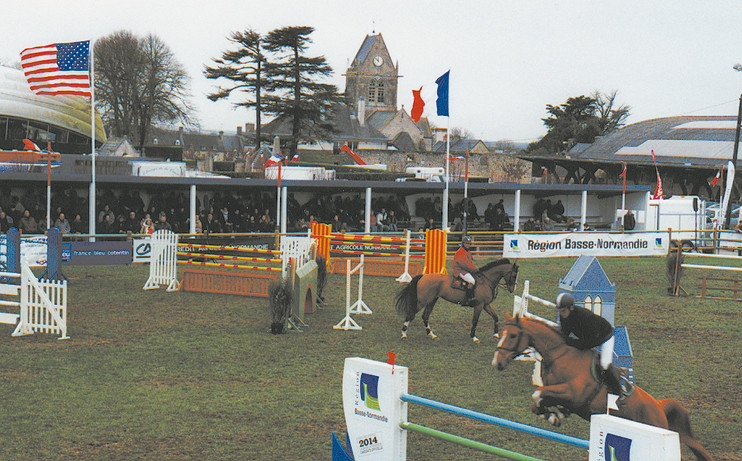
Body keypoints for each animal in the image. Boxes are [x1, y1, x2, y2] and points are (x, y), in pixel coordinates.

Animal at [392, 258, 520, 342]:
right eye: (514, 275)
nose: (512, 289)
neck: (486, 280)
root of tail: (423, 276)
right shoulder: (479, 305)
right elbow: (475, 321)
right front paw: (474, 337)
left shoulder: (486, 304)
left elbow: (495, 317)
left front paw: (496, 334)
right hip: (421, 302)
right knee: (411, 314)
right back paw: (403, 334)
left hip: (432, 301)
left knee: (425, 316)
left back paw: (431, 335)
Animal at [494, 316, 716, 460]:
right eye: (501, 334)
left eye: (512, 335)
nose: (497, 363)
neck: (559, 354)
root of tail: (659, 406)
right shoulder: (559, 393)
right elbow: (537, 400)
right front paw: (553, 416)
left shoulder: (574, 394)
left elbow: (538, 393)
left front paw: (553, 416)